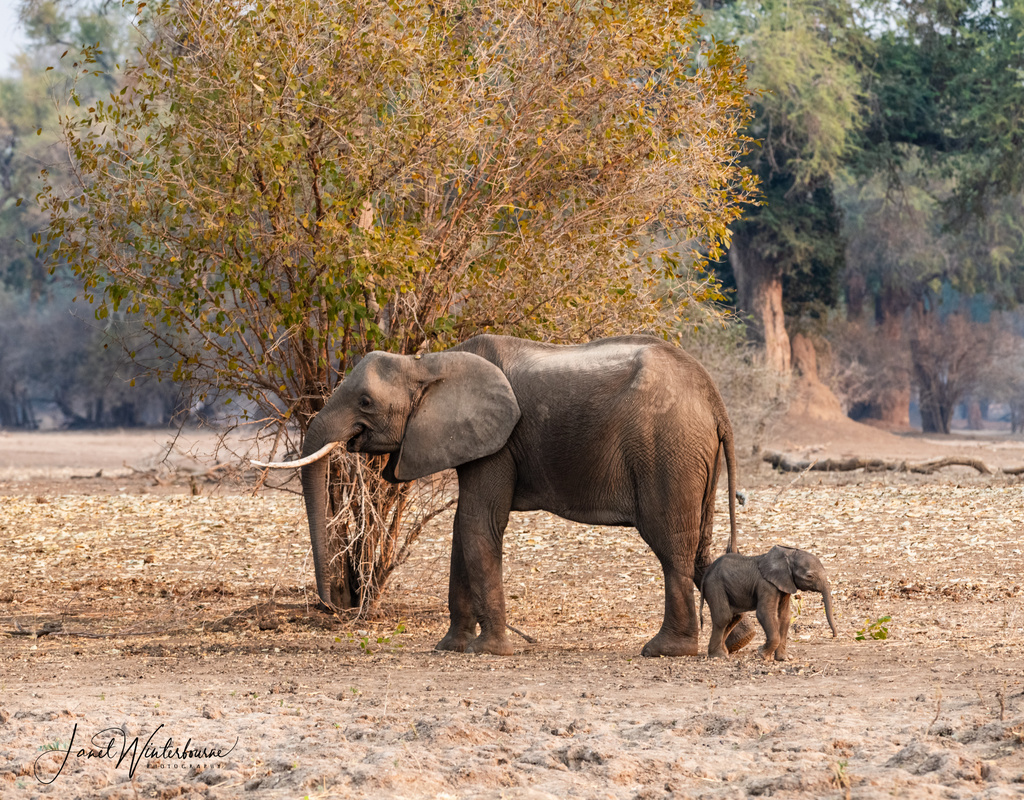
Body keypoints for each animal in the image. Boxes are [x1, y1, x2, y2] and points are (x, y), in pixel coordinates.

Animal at [256, 333, 753, 659]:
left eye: (364, 402)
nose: (333, 603)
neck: (428, 362)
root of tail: (715, 401)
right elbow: (464, 528)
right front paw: (450, 647)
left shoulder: (498, 442)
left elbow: (478, 523)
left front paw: (489, 651)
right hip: (690, 455)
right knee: (699, 544)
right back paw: (736, 641)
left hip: (666, 448)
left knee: (670, 543)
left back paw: (667, 650)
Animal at [700, 544, 835, 659]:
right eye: (809, 576)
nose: (834, 636)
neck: (788, 555)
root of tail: (707, 573)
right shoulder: (766, 585)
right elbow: (765, 613)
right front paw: (762, 655)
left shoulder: (785, 584)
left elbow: (784, 616)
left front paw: (783, 659)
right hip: (715, 585)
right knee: (724, 617)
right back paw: (719, 656)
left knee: (735, 617)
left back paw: (724, 652)